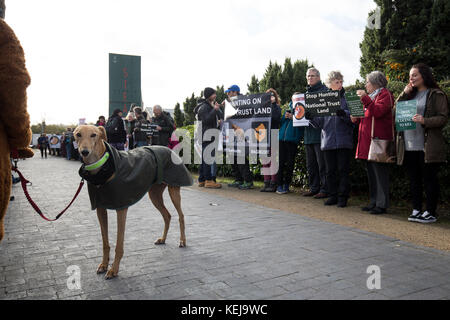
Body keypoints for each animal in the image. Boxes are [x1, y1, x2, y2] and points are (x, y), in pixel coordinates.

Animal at [73, 125, 192, 280]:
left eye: (94, 135)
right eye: (78, 134)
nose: (85, 152)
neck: (102, 170)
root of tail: (169, 148)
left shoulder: (121, 208)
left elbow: (119, 244)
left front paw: (113, 270)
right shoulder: (100, 209)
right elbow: (105, 242)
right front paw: (104, 265)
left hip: (174, 190)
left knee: (181, 216)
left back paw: (183, 241)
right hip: (154, 195)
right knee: (167, 215)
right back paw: (163, 239)